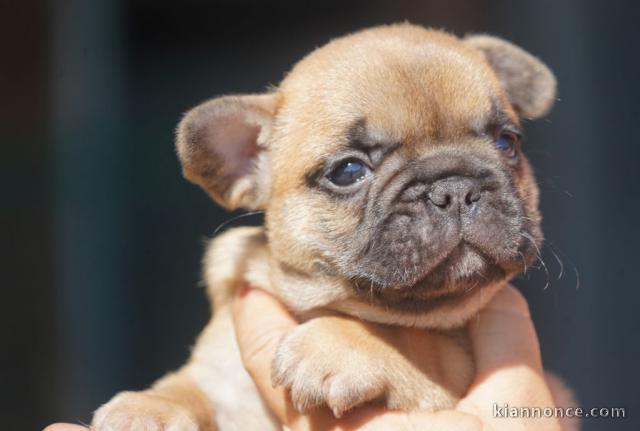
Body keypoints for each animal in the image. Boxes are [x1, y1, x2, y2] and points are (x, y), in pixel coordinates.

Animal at [91, 24, 564, 431]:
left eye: (508, 143)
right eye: (348, 171)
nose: (454, 188)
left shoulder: (455, 360)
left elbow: (413, 340)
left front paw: (332, 345)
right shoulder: (220, 377)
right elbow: (187, 384)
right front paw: (150, 407)